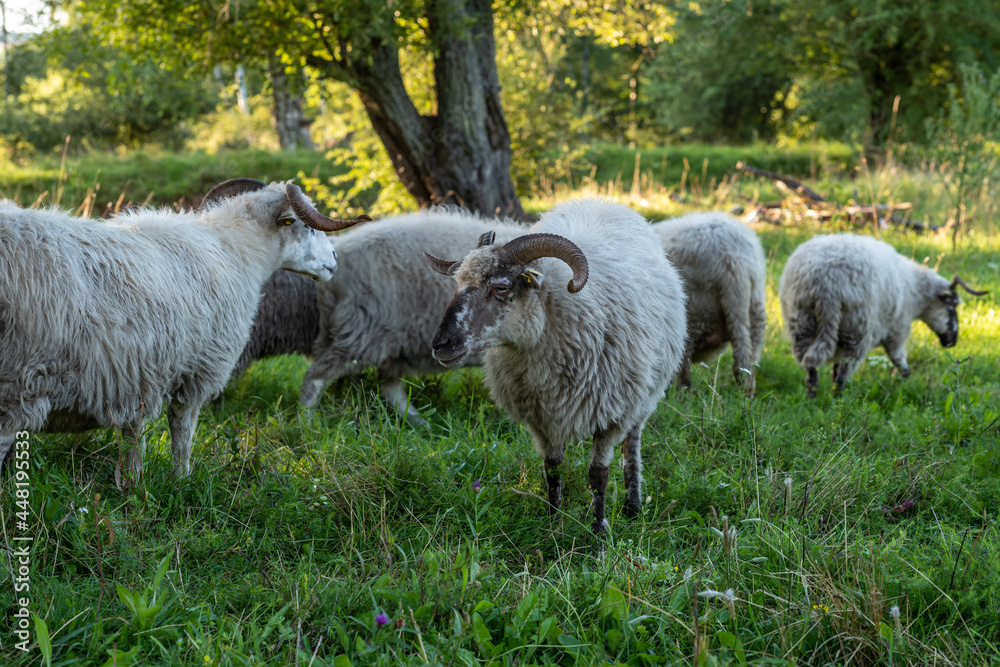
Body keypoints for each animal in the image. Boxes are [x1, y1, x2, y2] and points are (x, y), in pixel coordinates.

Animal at [0, 178, 368, 475]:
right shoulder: (198, 372)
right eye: (305, 226)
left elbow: (134, 442)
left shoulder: (135, 375)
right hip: (17, 384)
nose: (335, 261)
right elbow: (183, 436)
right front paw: (182, 480)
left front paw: (134, 488)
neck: (234, 251)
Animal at [424, 199, 687, 534]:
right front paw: (553, 526)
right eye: (458, 283)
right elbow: (552, 469)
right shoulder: (542, 419)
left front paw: (598, 534)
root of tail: (599, 200)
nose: (441, 344)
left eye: (501, 287)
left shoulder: (612, 414)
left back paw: (632, 505)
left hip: (642, 398)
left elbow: (598, 474)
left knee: (633, 445)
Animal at [652, 212, 767, 395]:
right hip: (755, 309)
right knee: (747, 361)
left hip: (695, 311)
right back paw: (746, 395)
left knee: (684, 366)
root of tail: (734, 259)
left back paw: (679, 396)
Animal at [778, 233, 988, 397]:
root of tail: (823, 284)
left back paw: (813, 401)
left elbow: (833, 370)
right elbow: (901, 364)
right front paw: (903, 387)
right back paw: (839, 404)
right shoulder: (896, 331)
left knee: (811, 370)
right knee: (842, 375)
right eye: (951, 307)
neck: (914, 291)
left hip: (801, 322)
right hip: (856, 328)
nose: (952, 341)